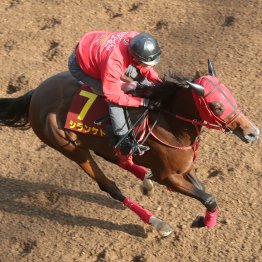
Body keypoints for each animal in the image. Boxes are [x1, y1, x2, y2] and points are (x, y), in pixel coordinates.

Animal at [0, 60, 258, 236]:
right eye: (215, 106)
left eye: (230, 96)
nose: (252, 132)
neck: (169, 123)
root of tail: (35, 94)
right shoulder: (169, 176)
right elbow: (209, 197)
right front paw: (204, 221)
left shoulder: (184, 167)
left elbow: (203, 191)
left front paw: (205, 220)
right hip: (70, 149)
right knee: (109, 186)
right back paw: (157, 222)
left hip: (94, 143)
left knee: (117, 158)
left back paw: (145, 179)